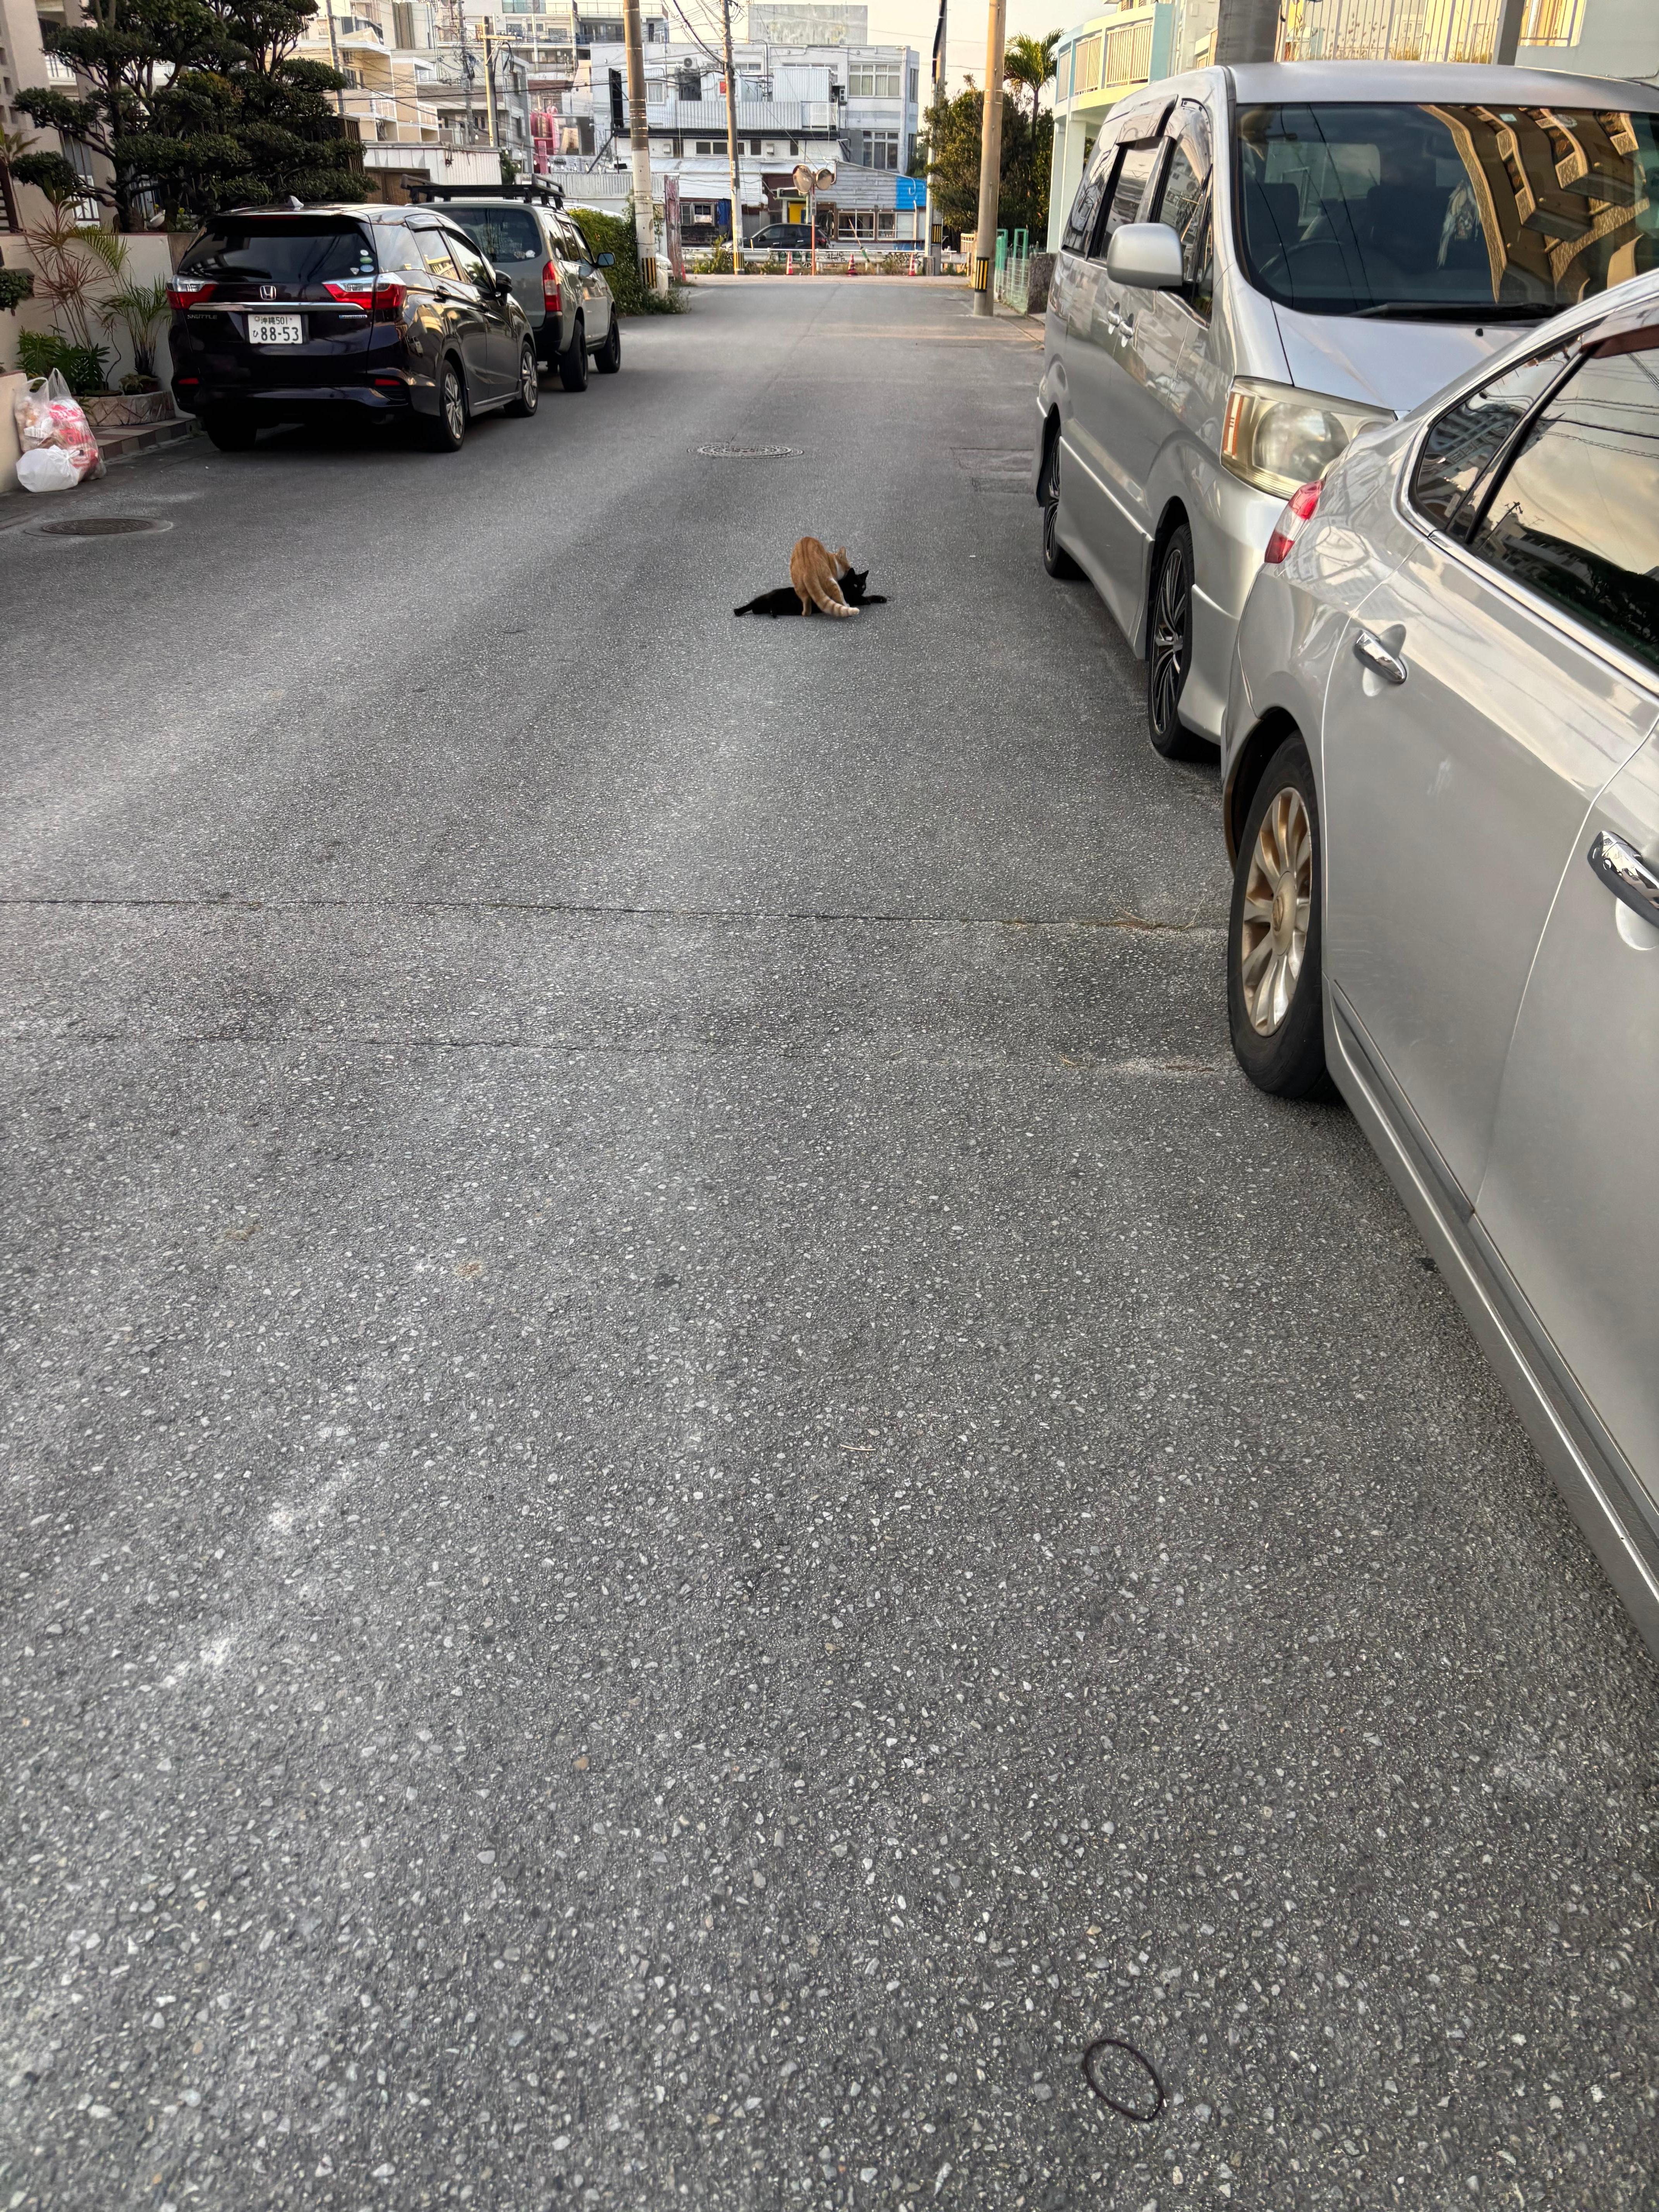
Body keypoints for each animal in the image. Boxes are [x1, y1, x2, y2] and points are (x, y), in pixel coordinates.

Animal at [725, 566, 884, 619]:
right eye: (856, 584)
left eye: (863, 585)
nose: (861, 589)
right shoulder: (850, 599)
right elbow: (864, 599)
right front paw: (873, 599)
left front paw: (881, 598)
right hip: (764, 600)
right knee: (750, 605)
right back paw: (738, 611)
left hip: (763, 607)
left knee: (757, 609)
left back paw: (773, 613)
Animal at [792, 544, 862, 623]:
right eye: (848, 568)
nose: (847, 575)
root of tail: (808, 569)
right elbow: (841, 596)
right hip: (829, 580)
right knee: (839, 598)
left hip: (799, 587)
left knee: (806, 602)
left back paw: (805, 613)